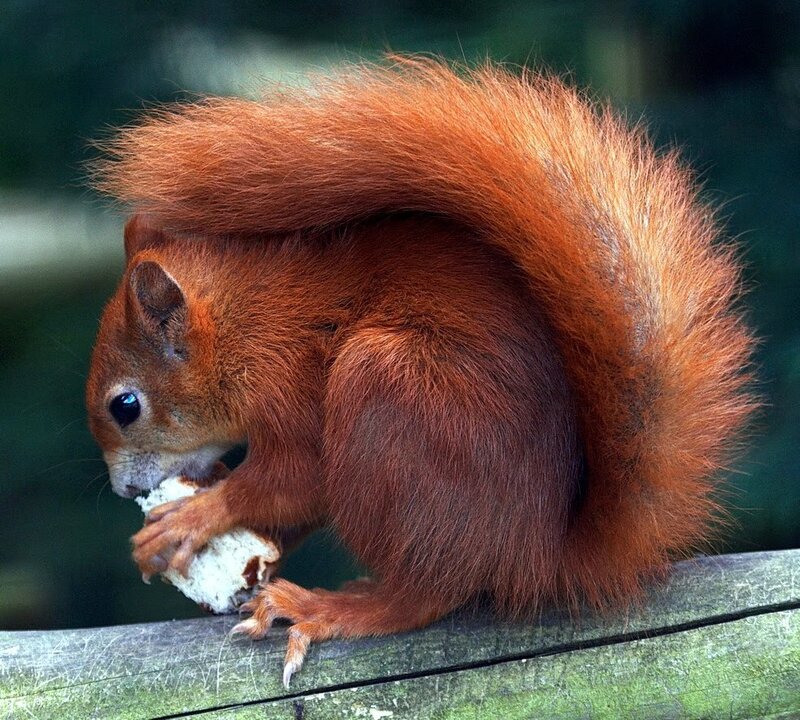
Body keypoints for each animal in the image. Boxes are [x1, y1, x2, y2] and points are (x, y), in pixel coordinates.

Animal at [86, 59, 756, 685]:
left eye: (126, 406)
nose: (125, 492)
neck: (240, 323)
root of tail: (537, 555)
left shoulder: (287, 380)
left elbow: (298, 480)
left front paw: (195, 515)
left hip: (386, 392)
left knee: (424, 595)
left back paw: (335, 610)